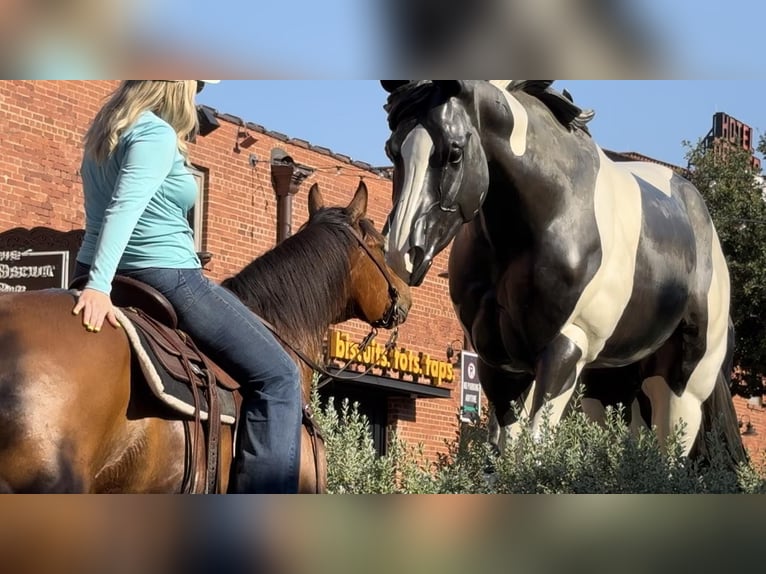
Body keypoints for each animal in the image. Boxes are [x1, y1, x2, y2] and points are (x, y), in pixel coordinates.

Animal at [380, 80, 740, 460]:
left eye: (454, 152)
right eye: (392, 151)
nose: (402, 252)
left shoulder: (566, 346)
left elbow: (536, 445)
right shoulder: (497, 360)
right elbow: (504, 449)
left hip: (680, 386)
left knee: (669, 454)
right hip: (611, 385)